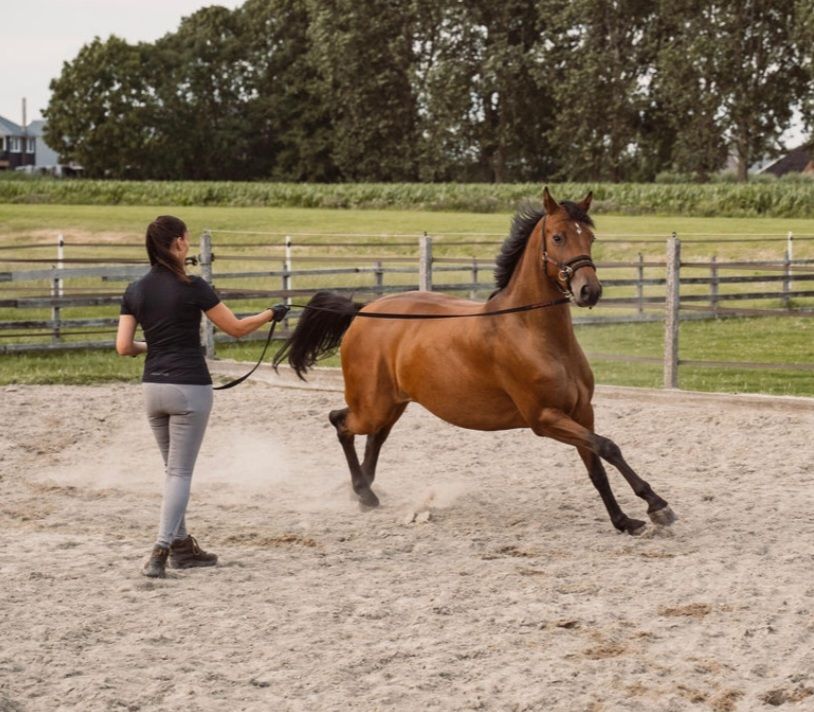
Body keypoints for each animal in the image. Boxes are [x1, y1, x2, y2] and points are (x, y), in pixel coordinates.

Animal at [273, 187, 676, 534]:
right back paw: (363, 491)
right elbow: (607, 447)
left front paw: (625, 520)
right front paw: (657, 506)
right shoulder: (544, 418)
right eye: (558, 237)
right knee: (340, 422)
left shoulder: (581, 412)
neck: (535, 333)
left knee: (375, 438)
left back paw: (367, 493)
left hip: (393, 403)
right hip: (371, 404)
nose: (589, 291)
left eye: (589, 237)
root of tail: (363, 311)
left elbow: (597, 465)